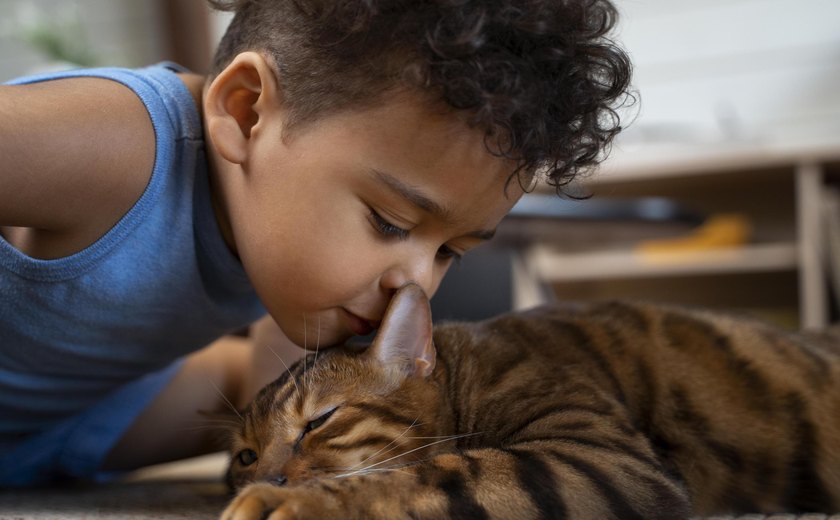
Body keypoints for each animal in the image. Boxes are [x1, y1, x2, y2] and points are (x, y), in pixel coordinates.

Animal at [218, 284, 840, 520]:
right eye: (245, 456)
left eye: (320, 421)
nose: (265, 477)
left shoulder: (597, 454)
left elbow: (438, 473)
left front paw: (291, 502)